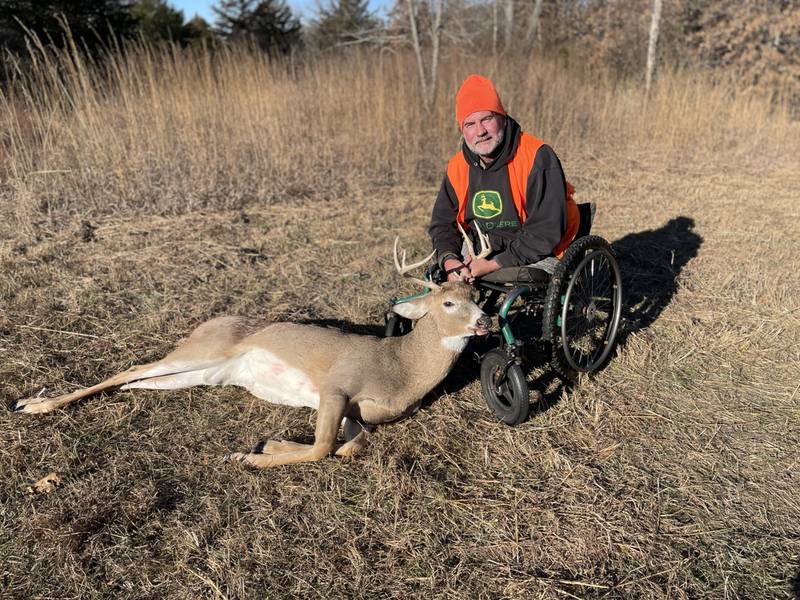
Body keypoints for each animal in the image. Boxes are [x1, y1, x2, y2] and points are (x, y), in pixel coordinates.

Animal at [12, 230, 493, 468]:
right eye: (448, 303)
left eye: (477, 296)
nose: (485, 321)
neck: (402, 369)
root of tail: (208, 323)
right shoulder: (336, 385)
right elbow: (322, 447)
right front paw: (249, 454)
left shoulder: (358, 413)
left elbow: (349, 446)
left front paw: (270, 444)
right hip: (203, 351)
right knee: (129, 370)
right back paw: (31, 404)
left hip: (204, 373)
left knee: (139, 383)